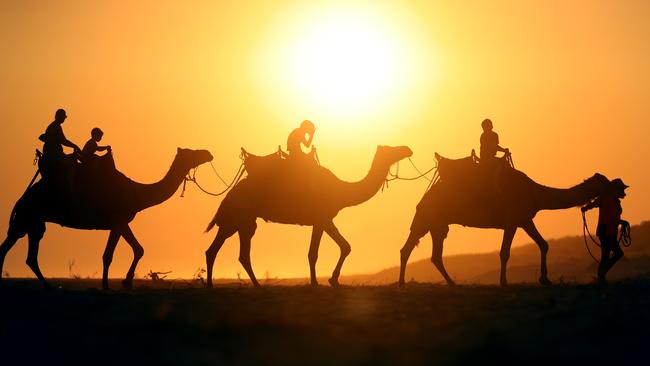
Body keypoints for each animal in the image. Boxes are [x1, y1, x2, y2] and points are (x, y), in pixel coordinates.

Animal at [0, 148, 213, 288]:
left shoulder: (123, 221)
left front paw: (126, 281)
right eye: (192, 152)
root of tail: (22, 198)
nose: (208, 153)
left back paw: (47, 286)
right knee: (9, 248)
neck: (137, 193)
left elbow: (139, 249)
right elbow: (108, 255)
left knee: (29, 256)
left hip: (34, 222)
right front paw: (106, 285)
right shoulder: (118, 221)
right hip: (26, 216)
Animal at [205, 144, 412, 288]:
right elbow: (323, 251)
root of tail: (228, 196)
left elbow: (337, 248)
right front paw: (321, 282)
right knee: (227, 251)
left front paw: (327, 281)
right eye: (391, 149)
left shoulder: (322, 220)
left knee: (230, 252)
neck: (342, 191)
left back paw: (243, 285)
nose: (407, 149)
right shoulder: (323, 218)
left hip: (242, 222)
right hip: (237, 219)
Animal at [398, 153, 612, 288]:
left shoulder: (524, 220)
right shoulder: (511, 221)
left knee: (428, 253)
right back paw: (403, 284)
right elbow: (504, 252)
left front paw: (545, 279)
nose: (617, 186)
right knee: (412, 249)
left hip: (436, 223)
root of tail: (427, 195)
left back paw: (449, 283)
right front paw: (504, 282)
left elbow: (544, 244)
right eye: (604, 182)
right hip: (428, 217)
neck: (535, 193)